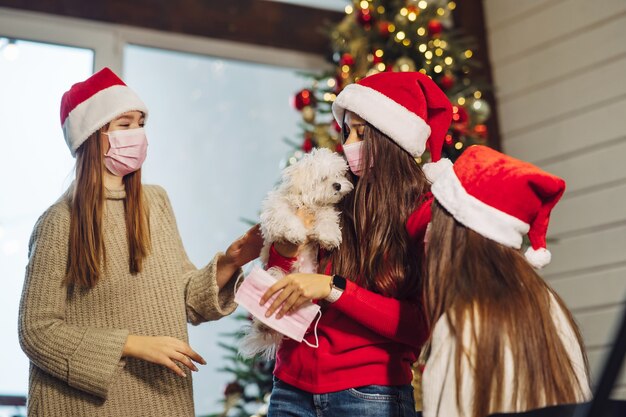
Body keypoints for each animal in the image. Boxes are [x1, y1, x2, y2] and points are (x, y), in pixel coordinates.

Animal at [239, 147, 354, 358]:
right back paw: (263, 325)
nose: (338, 185)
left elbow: (327, 219)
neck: (309, 202)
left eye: (338, 175)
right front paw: (295, 232)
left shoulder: (325, 211)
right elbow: (285, 217)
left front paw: (328, 235)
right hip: (275, 275)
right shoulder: (277, 208)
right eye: (323, 178)